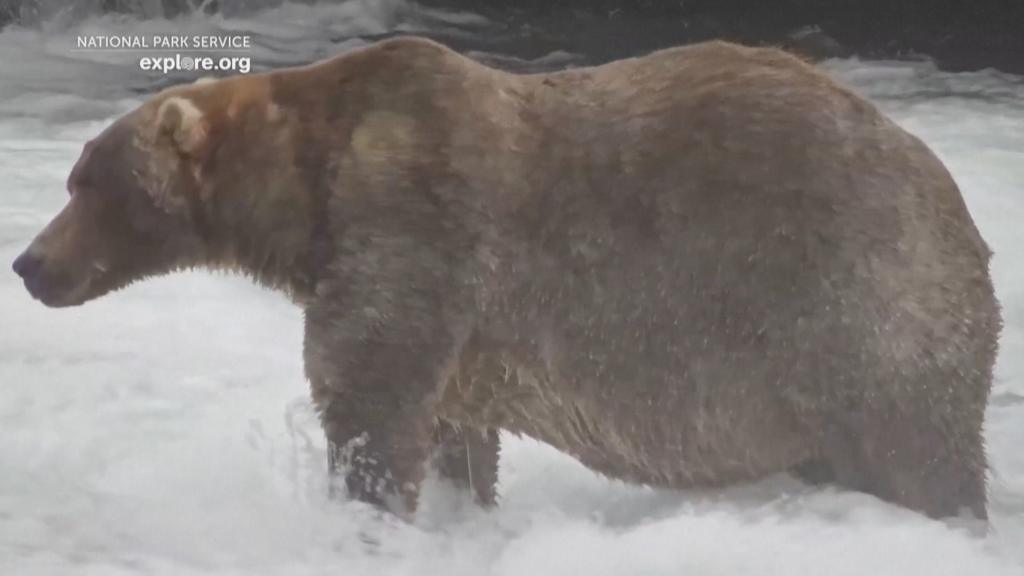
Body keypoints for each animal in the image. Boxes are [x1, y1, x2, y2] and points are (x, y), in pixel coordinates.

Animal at [12, 36, 1000, 520]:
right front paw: (461, 513)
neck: (302, 195)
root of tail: (958, 205)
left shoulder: (413, 225)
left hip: (854, 305)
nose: (27, 263)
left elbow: (368, 400)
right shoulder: (456, 324)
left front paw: (366, 510)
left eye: (84, 182)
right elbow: (452, 429)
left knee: (918, 453)